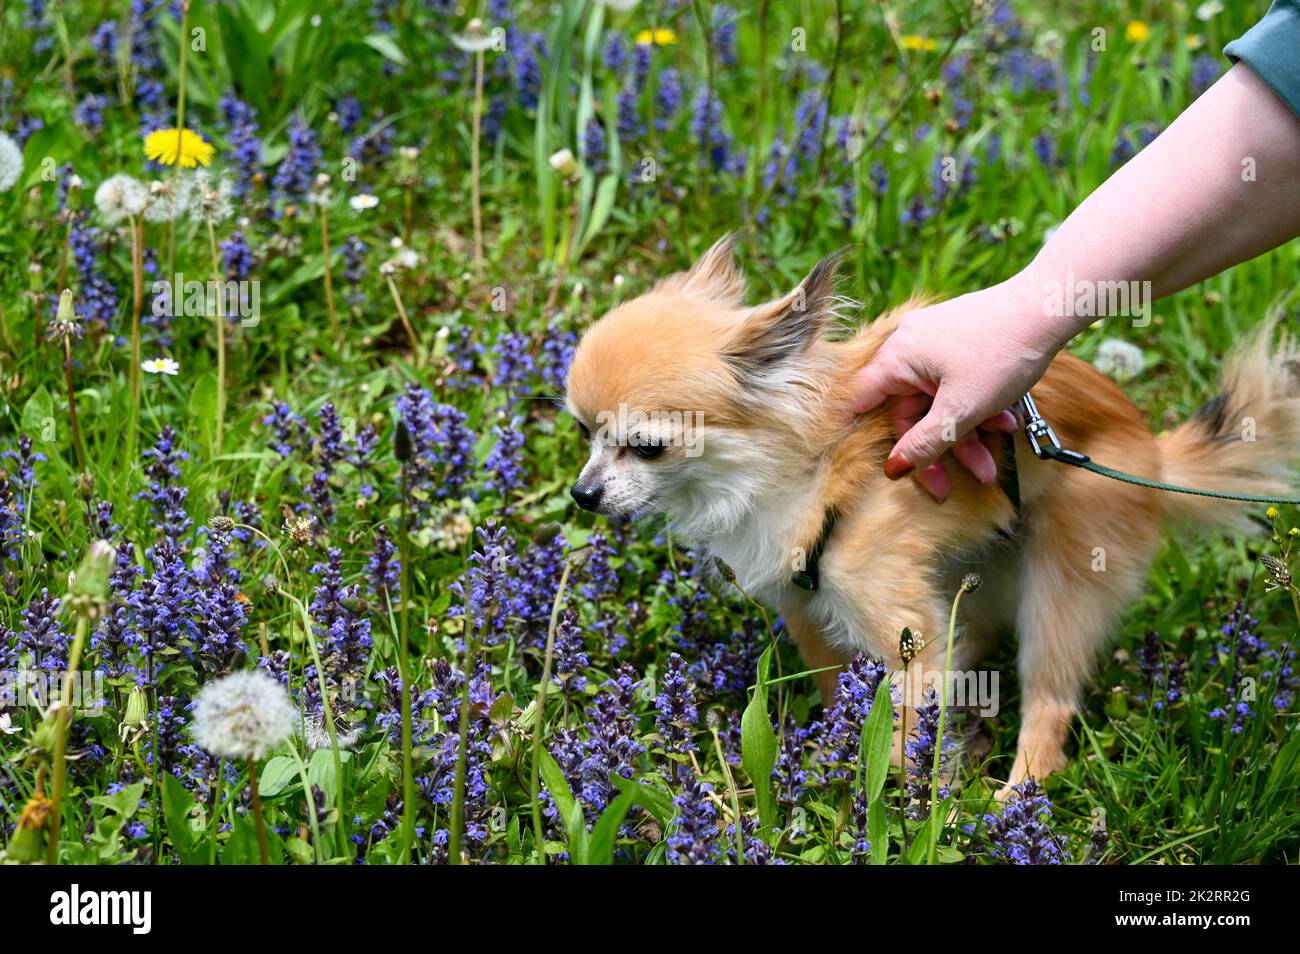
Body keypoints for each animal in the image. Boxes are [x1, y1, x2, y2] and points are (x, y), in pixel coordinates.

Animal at [564, 239, 1294, 790]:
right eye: (584, 433)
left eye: (647, 447)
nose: (582, 495)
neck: (797, 471)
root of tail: (1152, 452)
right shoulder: (809, 614)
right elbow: (837, 691)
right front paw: (834, 754)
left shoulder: (895, 624)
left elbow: (905, 730)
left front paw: (904, 805)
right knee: (971, 633)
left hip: (1063, 587)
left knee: (1049, 702)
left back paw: (1013, 801)